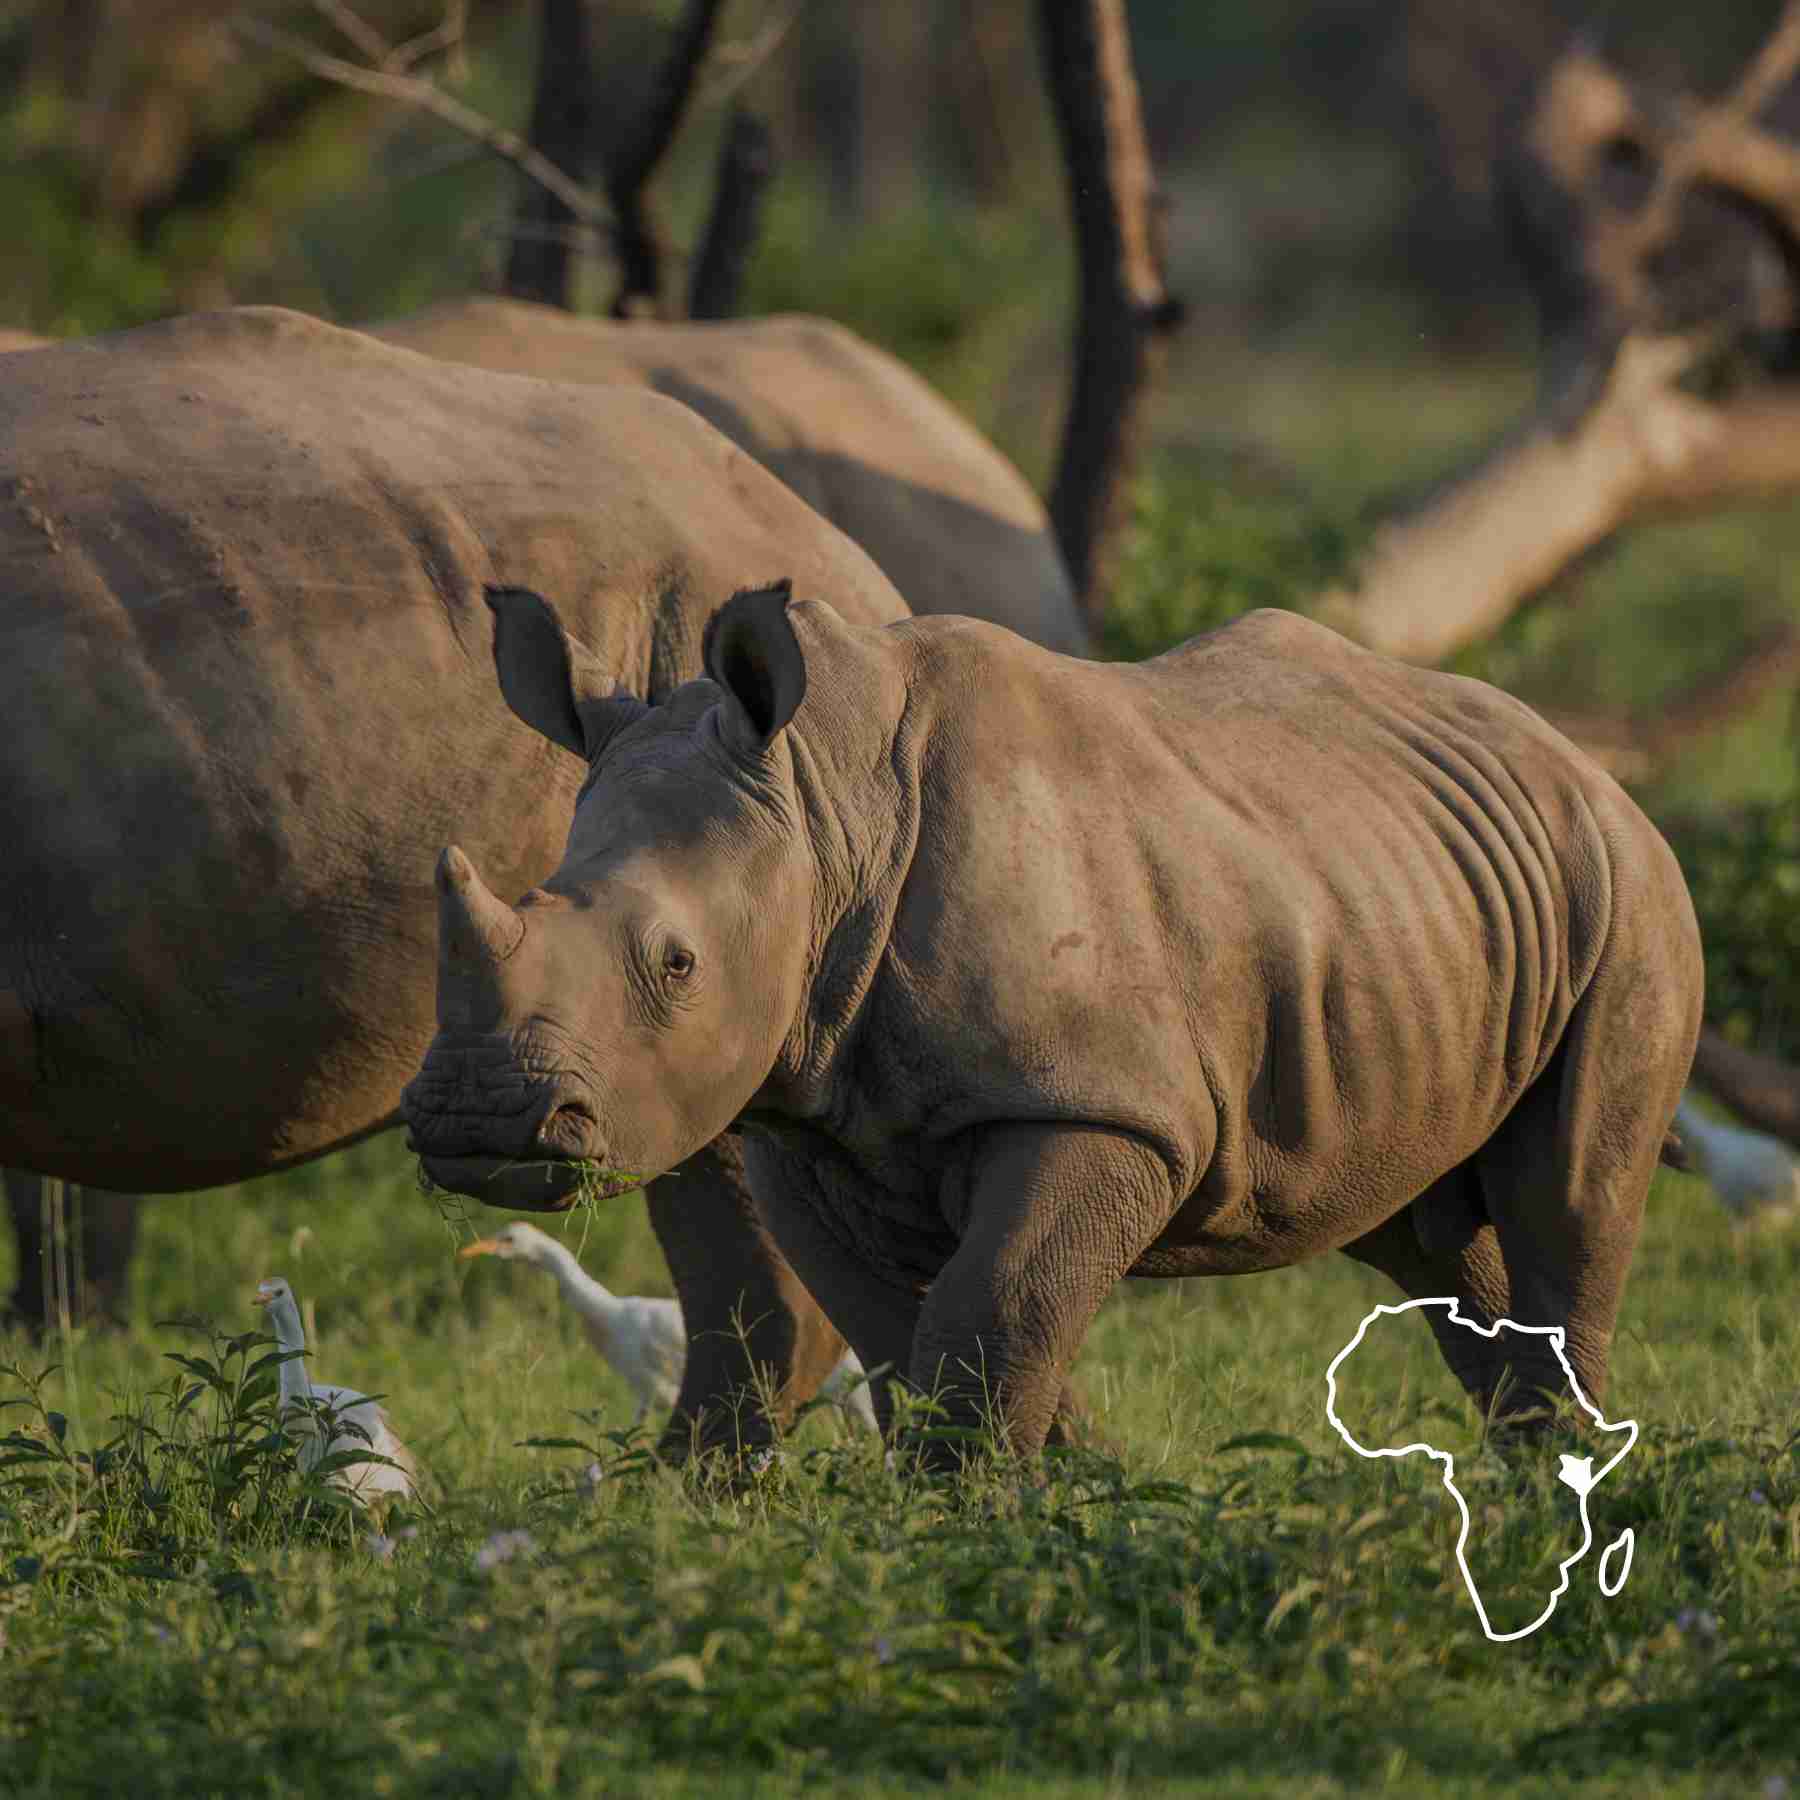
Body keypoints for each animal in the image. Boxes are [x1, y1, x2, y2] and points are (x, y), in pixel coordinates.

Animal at [405, 590, 1699, 1461]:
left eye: (676, 964)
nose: (480, 1119)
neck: (824, 813)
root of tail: (1583, 760)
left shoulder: (1098, 1105)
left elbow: (995, 1311)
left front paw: (987, 1525)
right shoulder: (806, 1119)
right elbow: (908, 1338)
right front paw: (1066, 1505)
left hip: (1630, 890)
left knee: (1569, 1200)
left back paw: (1568, 1492)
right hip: (1399, 897)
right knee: (1425, 1227)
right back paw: (1525, 1487)